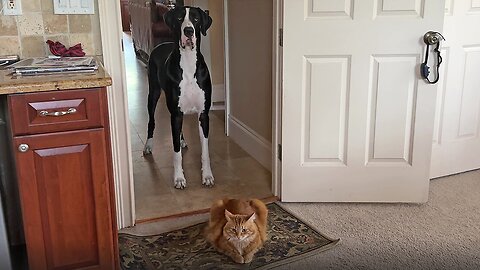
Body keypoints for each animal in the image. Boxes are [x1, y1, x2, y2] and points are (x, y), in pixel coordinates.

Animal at [142, 5, 214, 189]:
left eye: (196, 19)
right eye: (180, 18)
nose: (188, 31)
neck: (188, 63)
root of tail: (160, 44)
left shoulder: (203, 114)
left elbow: (205, 149)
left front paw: (207, 176)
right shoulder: (175, 113)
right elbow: (175, 152)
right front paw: (179, 178)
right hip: (153, 94)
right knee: (151, 121)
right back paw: (148, 145)